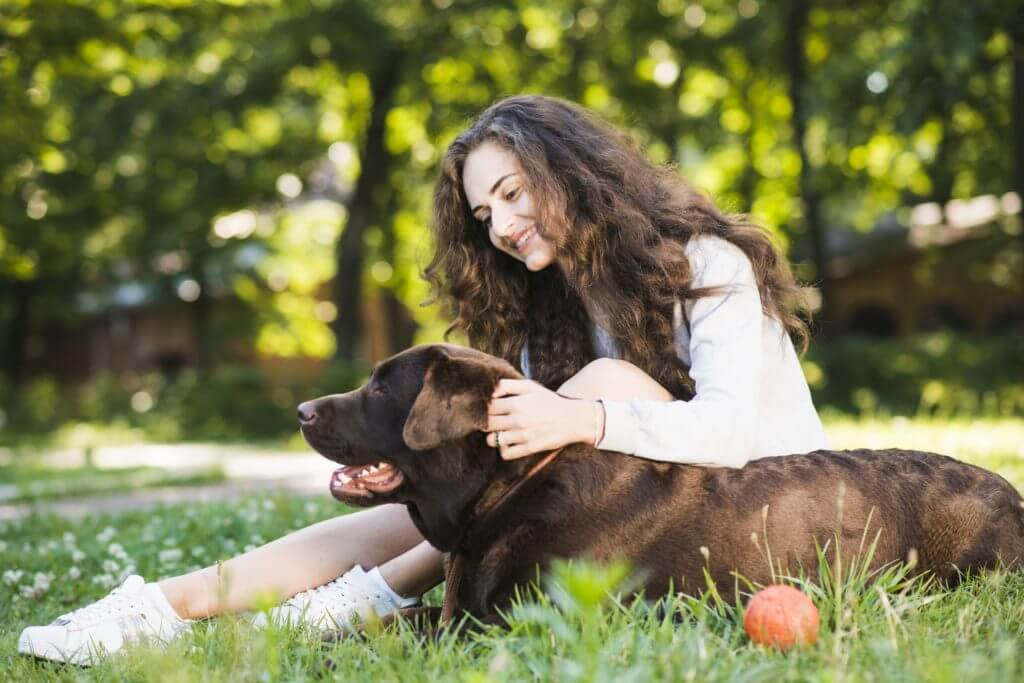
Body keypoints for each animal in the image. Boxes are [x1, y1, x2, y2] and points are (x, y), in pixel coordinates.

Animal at [299, 348, 1024, 626]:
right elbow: (395, 619)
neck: (513, 490)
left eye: (381, 388)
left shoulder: (520, 622)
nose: (302, 410)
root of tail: (1013, 491)